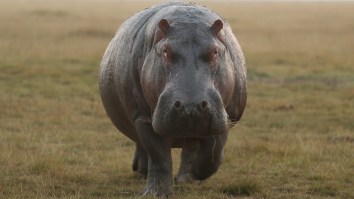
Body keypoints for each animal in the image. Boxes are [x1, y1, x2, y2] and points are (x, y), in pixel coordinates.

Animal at [99, 1, 246, 197]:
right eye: (165, 51)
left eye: (215, 52)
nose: (190, 106)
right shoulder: (142, 118)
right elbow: (159, 156)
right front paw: (154, 194)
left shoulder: (228, 116)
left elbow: (214, 153)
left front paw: (195, 174)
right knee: (143, 146)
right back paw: (142, 171)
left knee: (191, 148)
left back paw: (185, 179)